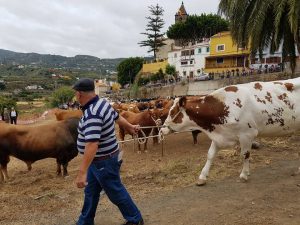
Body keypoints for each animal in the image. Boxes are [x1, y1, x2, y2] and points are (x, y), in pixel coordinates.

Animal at [162, 77, 300, 185]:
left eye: (172, 112)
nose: (162, 128)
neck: (223, 105)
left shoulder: (247, 134)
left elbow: (245, 154)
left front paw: (244, 175)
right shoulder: (218, 135)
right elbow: (210, 155)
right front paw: (202, 177)